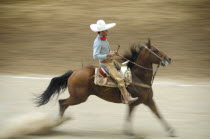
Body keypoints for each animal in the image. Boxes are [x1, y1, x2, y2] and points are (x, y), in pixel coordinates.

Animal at [36, 39, 176, 137]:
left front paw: (171, 130)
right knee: (62, 103)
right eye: (156, 50)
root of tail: (74, 72)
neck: (137, 76)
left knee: (63, 103)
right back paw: (56, 123)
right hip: (78, 98)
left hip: (78, 97)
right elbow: (130, 116)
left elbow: (157, 114)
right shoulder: (134, 103)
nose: (168, 59)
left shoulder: (148, 101)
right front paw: (129, 132)